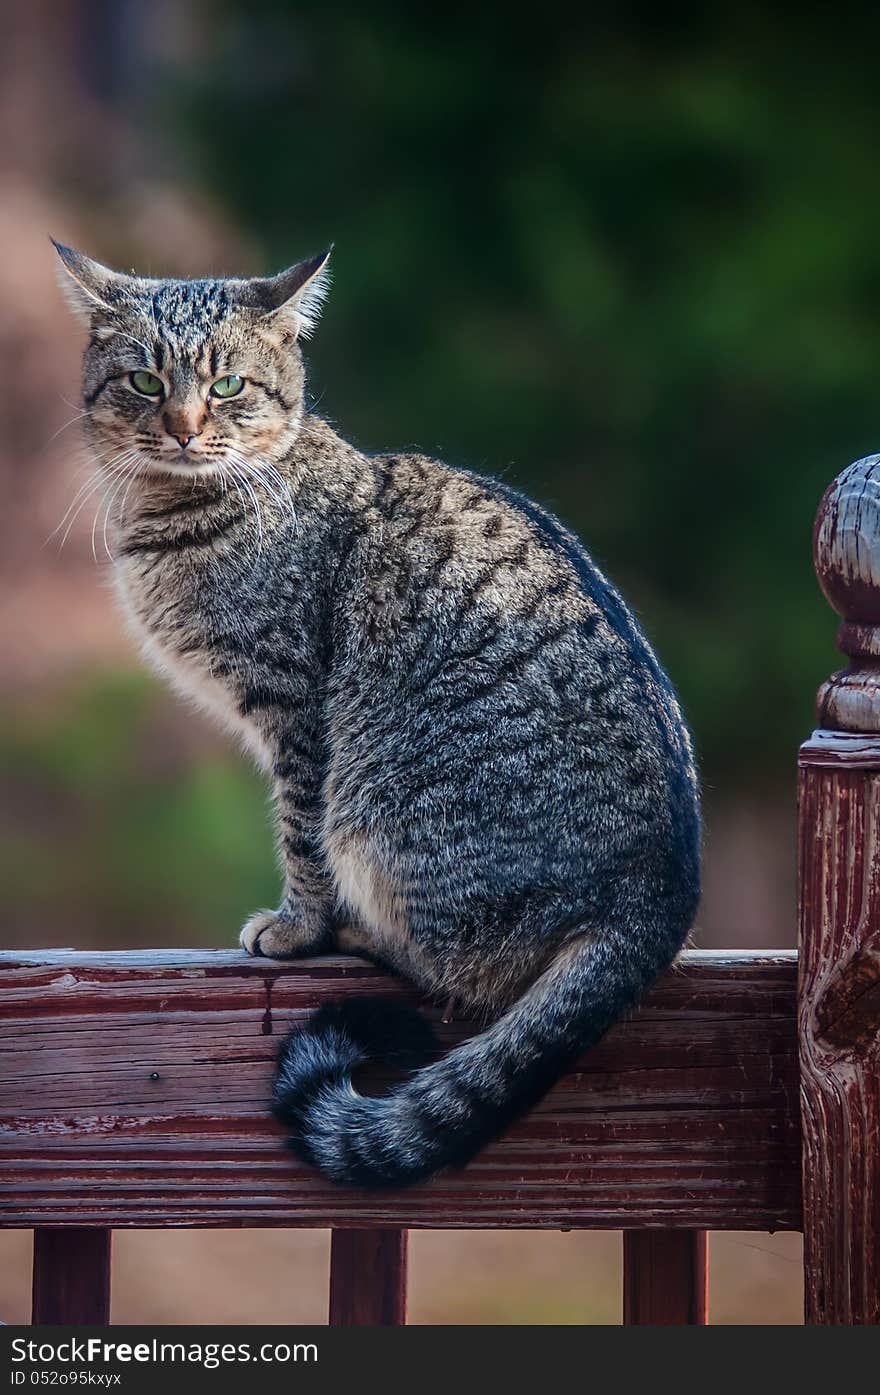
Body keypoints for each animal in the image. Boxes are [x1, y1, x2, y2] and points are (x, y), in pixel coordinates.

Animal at [55, 239, 702, 1188]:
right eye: (144, 381)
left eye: (227, 385)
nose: (181, 426)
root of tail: (658, 900)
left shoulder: (296, 708)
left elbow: (299, 832)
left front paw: (297, 928)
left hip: (378, 809)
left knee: (462, 967)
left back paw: (363, 934)